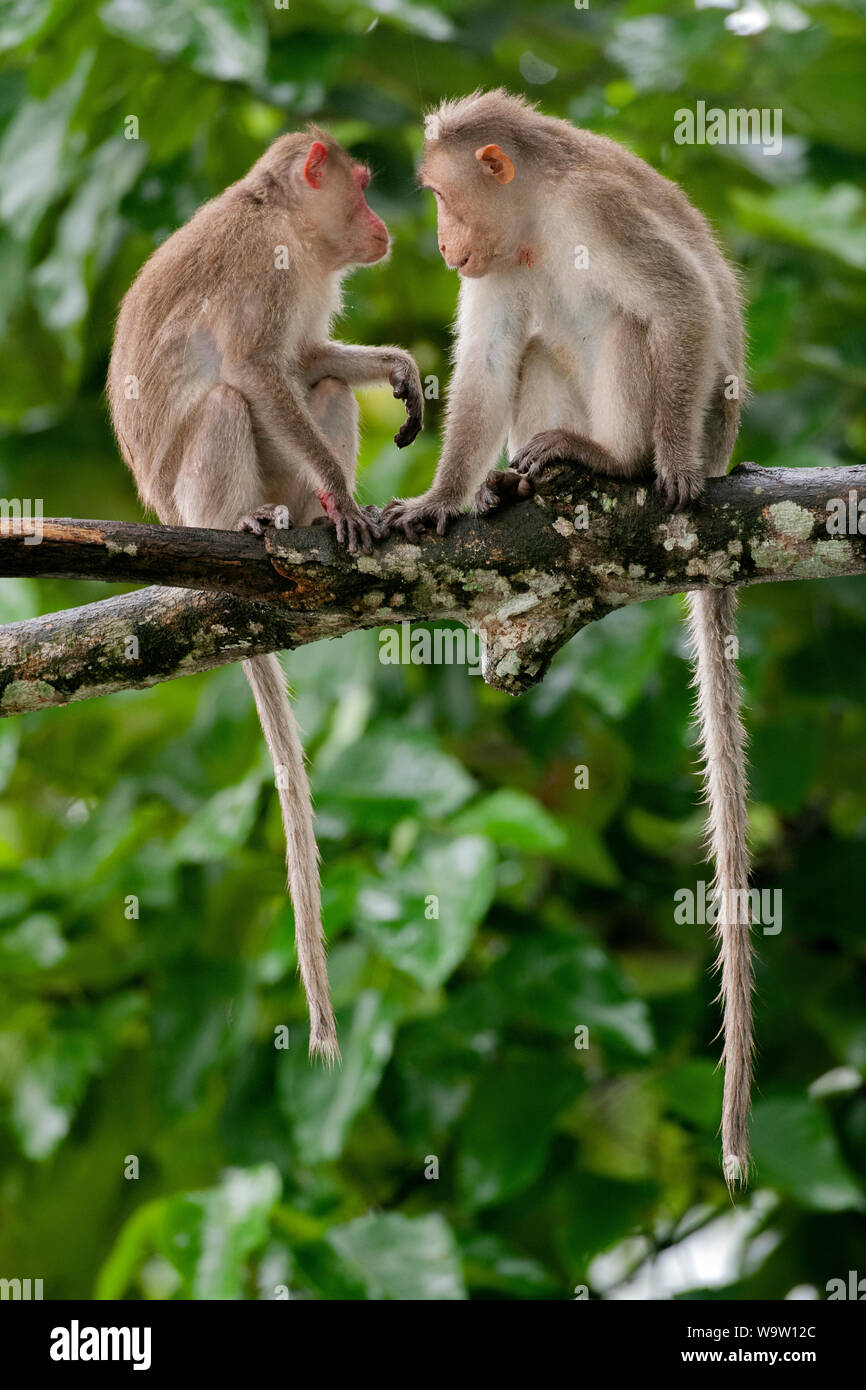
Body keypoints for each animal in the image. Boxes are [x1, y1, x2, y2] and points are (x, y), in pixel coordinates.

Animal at [107, 132, 425, 1061]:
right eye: (364, 185)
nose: (383, 225)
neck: (280, 216)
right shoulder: (269, 265)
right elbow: (255, 366)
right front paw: (348, 500)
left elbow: (303, 364)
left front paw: (395, 366)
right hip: (189, 498)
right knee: (225, 397)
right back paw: (257, 519)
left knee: (317, 392)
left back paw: (315, 513)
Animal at [383, 95, 756, 1184]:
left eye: (438, 195)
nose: (439, 241)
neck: (537, 223)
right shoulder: (498, 268)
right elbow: (487, 366)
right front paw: (440, 498)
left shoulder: (597, 209)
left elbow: (684, 307)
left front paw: (666, 465)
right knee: (538, 352)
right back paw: (517, 480)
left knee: (637, 327)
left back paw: (614, 461)